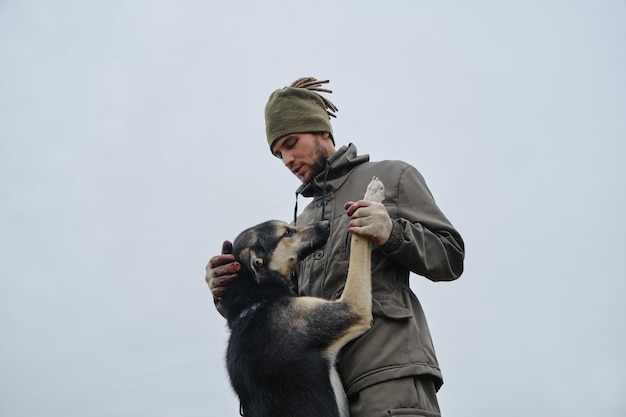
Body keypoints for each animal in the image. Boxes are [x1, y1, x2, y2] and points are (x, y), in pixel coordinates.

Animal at [218, 176, 386, 416]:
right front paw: (371, 196)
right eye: (287, 233)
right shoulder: (353, 306)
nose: (326, 224)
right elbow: (357, 244)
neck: (256, 300)